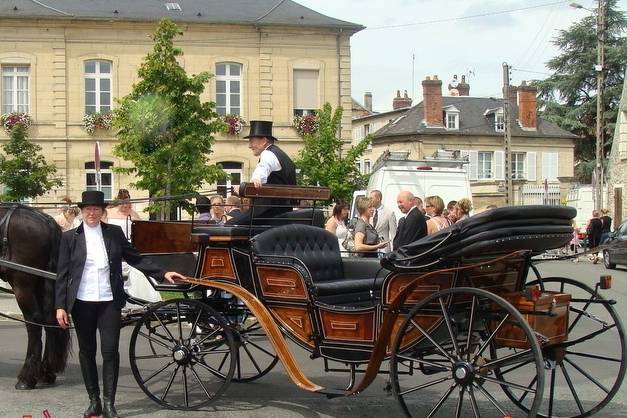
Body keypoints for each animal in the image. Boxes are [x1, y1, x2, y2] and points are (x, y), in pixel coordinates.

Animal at [0, 204, 70, 390]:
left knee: (34, 322)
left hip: (23, 284)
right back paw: (46, 372)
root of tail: (45, 220)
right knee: (50, 320)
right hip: (41, 283)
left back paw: (27, 378)